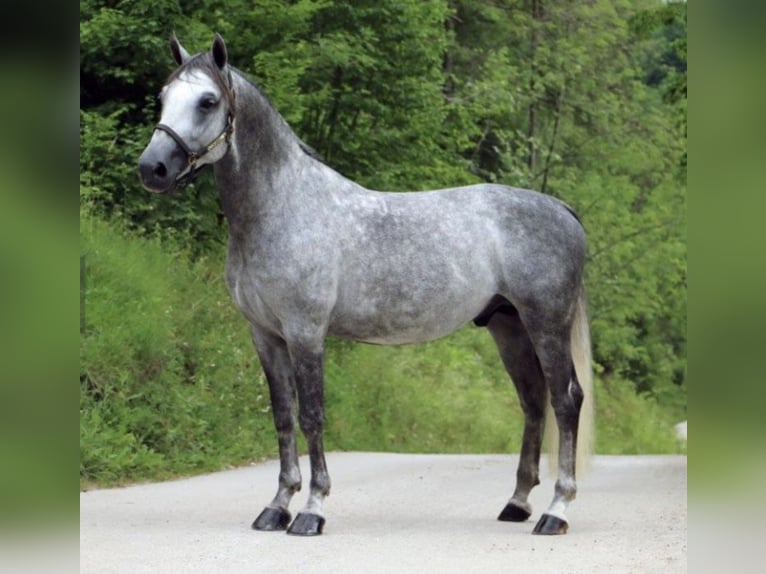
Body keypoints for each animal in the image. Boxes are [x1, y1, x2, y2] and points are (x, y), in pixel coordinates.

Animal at [138, 33, 596, 540]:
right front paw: (276, 507)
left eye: (208, 101)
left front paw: (312, 510)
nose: (152, 168)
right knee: (533, 402)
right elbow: (283, 416)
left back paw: (557, 510)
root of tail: (561, 209)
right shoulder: (265, 335)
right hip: (508, 327)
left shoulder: (305, 332)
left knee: (565, 400)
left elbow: (312, 415)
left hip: (546, 324)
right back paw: (517, 503)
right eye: (162, 97)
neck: (282, 208)